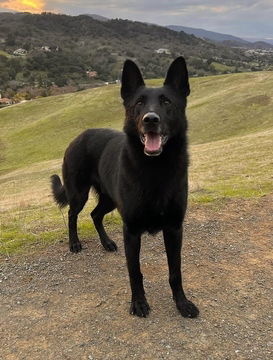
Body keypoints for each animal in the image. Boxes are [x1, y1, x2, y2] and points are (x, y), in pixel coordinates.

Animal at [51, 57, 198, 318]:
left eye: (166, 102)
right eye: (139, 103)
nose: (151, 119)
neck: (155, 169)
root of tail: (78, 136)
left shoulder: (174, 229)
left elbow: (175, 272)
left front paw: (182, 303)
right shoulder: (131, 231)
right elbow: (135, 272)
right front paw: (138, 303)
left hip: (109, 199)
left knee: (95, 214)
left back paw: (106, 243)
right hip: (79, 193)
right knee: (72, 214)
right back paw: (74, 243)